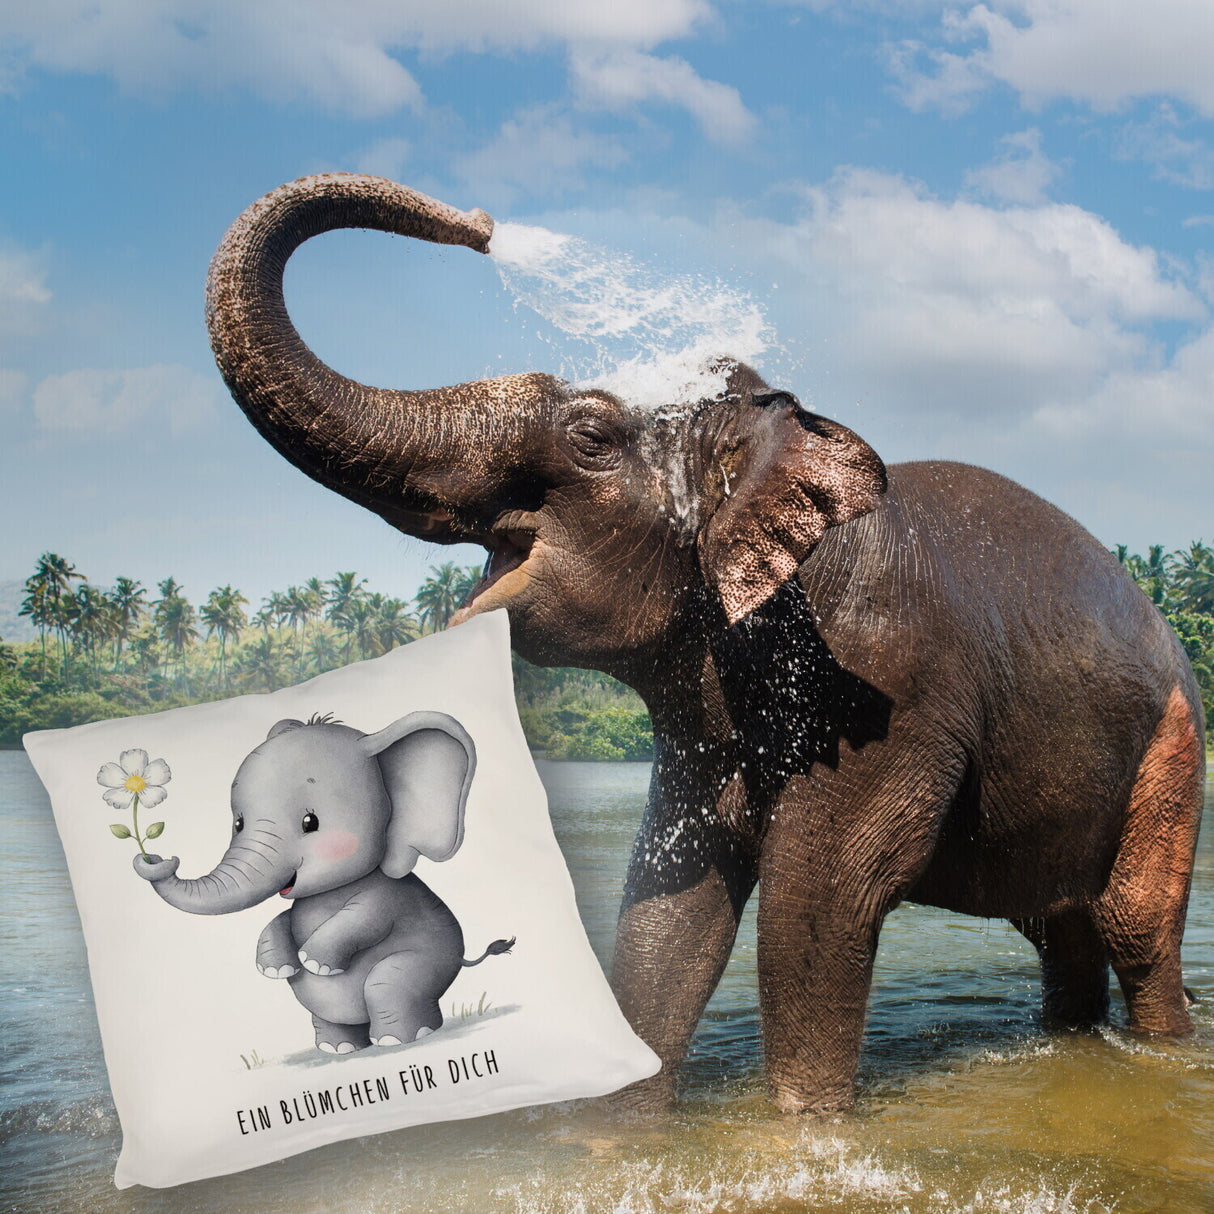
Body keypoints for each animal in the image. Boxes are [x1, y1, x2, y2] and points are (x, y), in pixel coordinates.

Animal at [133, 709, 514, 1054]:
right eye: (238, 824)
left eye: (310, 822)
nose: (158, 857)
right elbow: (282, 917)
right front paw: (275, 968)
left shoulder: (386, 896)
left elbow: (362, 918)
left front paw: (315, 962)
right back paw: (340, 1049)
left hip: (430, 962)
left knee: (387, 984)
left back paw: (402, 1039)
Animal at [203, 173, 1205, 1112]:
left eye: (591, 435)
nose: (479, 223)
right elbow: (672, 901)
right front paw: (620, 1124)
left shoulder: (887, 682)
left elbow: (823, 897)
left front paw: (801, 1127)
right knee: (1060, 926)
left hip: (1176, 745)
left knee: (1133, 928)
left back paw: (1161, 1044)